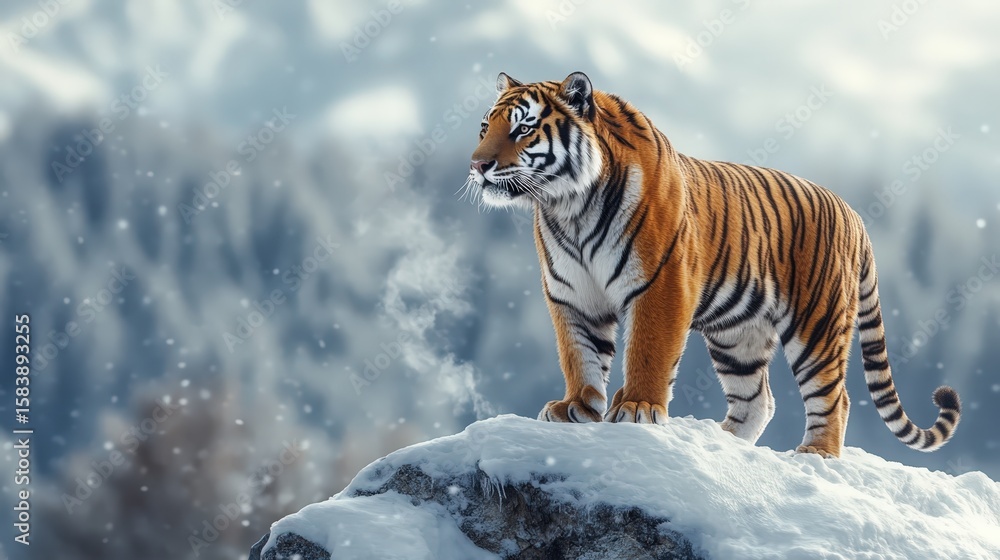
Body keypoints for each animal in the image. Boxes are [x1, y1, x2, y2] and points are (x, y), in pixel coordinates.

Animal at [464, 71, 961, 458]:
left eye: (523, 130)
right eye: (485, 127)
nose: (477, 165)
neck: (569, 206)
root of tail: (855, 215)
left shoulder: (660, 285)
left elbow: (647, 351)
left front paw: (637, 408)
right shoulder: (572, 295)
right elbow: (579, 356)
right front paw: (577, 408)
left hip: (817, 325)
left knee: (834, 397)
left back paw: (815, 454)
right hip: (738, 335)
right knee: (757, 401)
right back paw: (722, 442)